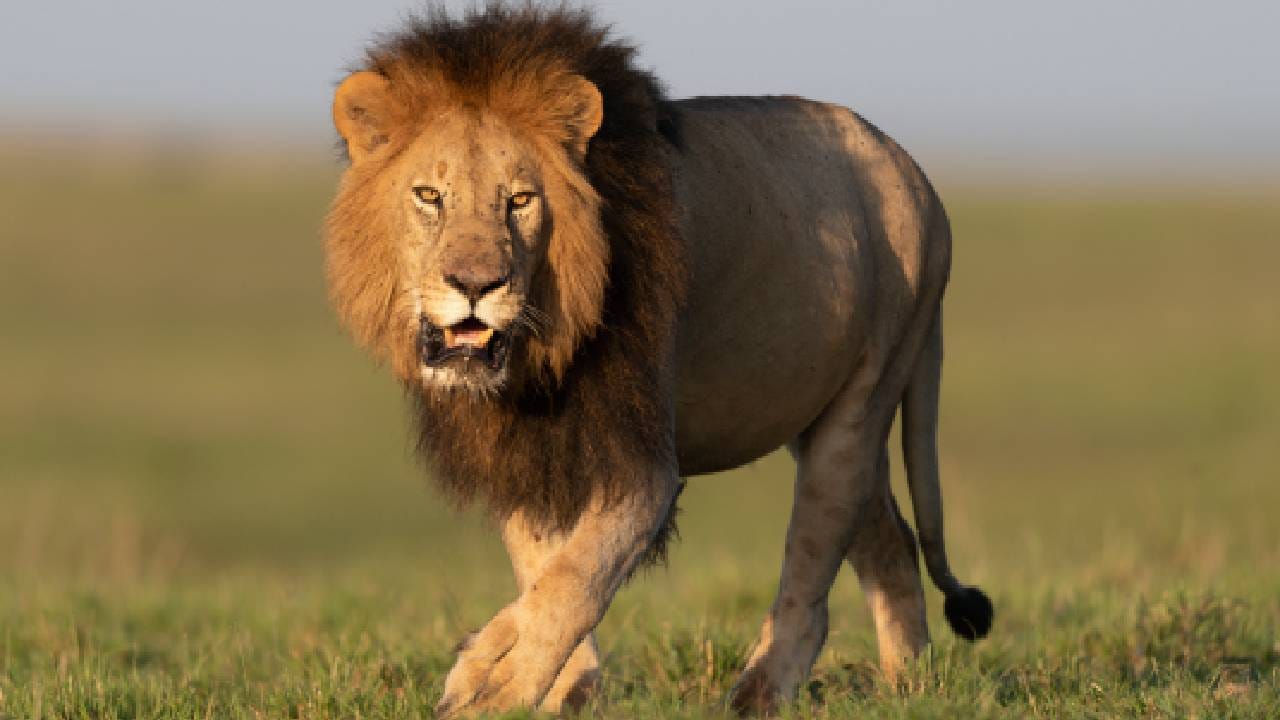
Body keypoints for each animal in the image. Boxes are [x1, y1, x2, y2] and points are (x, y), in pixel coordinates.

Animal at [325, 5, 993, 717]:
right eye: (429, 196)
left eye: (520, 201)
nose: (476, 284)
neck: (539, 357)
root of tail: (917, 174)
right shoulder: (522, 447)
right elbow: (541, 567)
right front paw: (566, 688)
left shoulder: (645, 463)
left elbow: (576, 576)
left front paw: (494, 679)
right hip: (824, 424)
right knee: (891, 541)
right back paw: (912, 688)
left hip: (861, 404)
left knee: (811, 575)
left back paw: (760, 692)